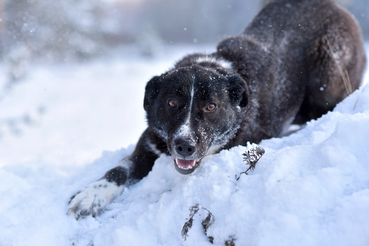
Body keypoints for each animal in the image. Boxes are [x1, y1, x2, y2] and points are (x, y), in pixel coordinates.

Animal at [68, 0, 366, 219]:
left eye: (211, 106)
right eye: (171, 103)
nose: (184, 146)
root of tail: (333, 5)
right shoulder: (149, 142)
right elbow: (119, 170)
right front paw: (91, 194)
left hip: (328, 69)